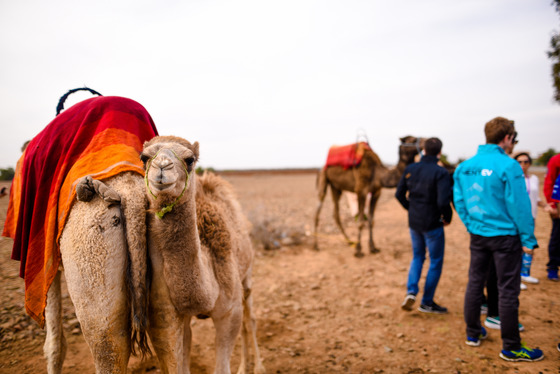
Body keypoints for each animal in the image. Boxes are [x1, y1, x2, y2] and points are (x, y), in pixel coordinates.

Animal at [139, 135, 264, 374]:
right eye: (144, 158)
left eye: (190, 159)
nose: (162, 167)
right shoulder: (178, 316)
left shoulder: (229, 312)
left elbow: (223, 365)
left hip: (247, 274)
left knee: (250, 320)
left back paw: (257, 367)